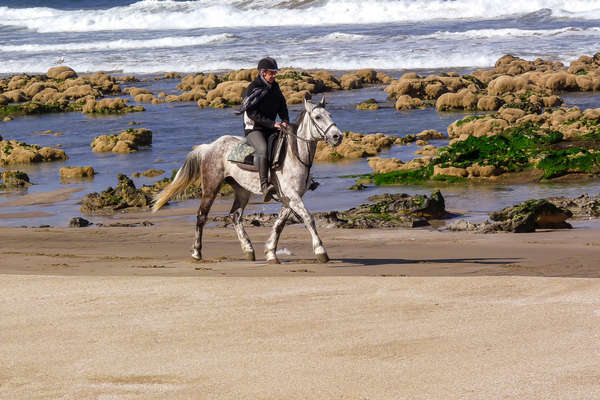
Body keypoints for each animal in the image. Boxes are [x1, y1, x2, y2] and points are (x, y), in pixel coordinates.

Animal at [152, 98, 344, 264]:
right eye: (318, 117)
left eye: (330, 115)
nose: (337, 136)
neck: (294, 154)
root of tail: (209, 147)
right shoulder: (292, 195)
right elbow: (308, 218)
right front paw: (321, 251)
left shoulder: (289, 198)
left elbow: (279, 224)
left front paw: (270, 253)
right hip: (211, 186)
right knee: (202, 216)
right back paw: (196, 253)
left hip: (242, 191)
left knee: (235, 215)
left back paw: (248, 249)